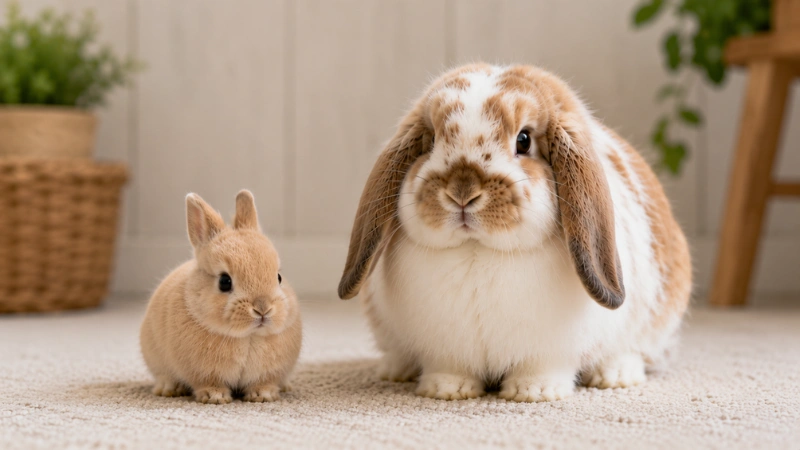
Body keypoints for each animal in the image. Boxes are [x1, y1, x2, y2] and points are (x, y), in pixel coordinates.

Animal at [140, 190, 302, 404]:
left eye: (279, 277)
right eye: (224, 281)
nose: (263, 309)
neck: (248, 336)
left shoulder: (267, 373)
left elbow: (263, 383)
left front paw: (263, 396)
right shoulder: (204, 374)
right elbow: (209, 383)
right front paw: (215, 397)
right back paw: (169, 389)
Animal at [338, 63, 691, 402]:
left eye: (524, 140)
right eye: (433, 139)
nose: (462, 191)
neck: (477, 251)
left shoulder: (550, 352)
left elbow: (542, 369)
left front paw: (533, 392)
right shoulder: (445, 351)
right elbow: (449, 368)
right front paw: (447, 389)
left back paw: (614, 376)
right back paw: (395, 370)